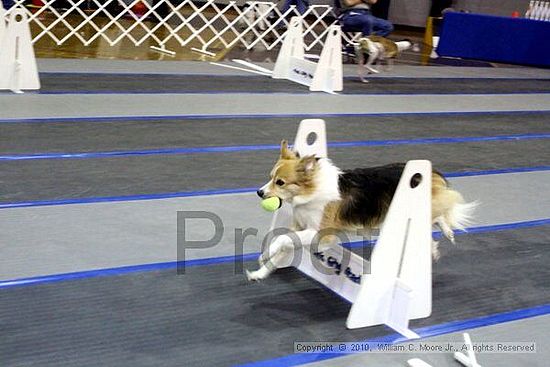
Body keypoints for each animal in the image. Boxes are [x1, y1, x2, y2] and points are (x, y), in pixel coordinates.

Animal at [246, 141, 478, 282]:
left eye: (280, 182)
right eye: (270, 177)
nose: (259, 192)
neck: (310, 190)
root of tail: (431, 172)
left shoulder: (321, 234)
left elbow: (283, 239)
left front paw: (266, 255)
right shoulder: (299, 227)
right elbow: (282, 246)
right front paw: (261, 270)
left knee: (440, 212)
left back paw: (442, 237)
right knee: (436, 220)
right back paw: (440, 240)